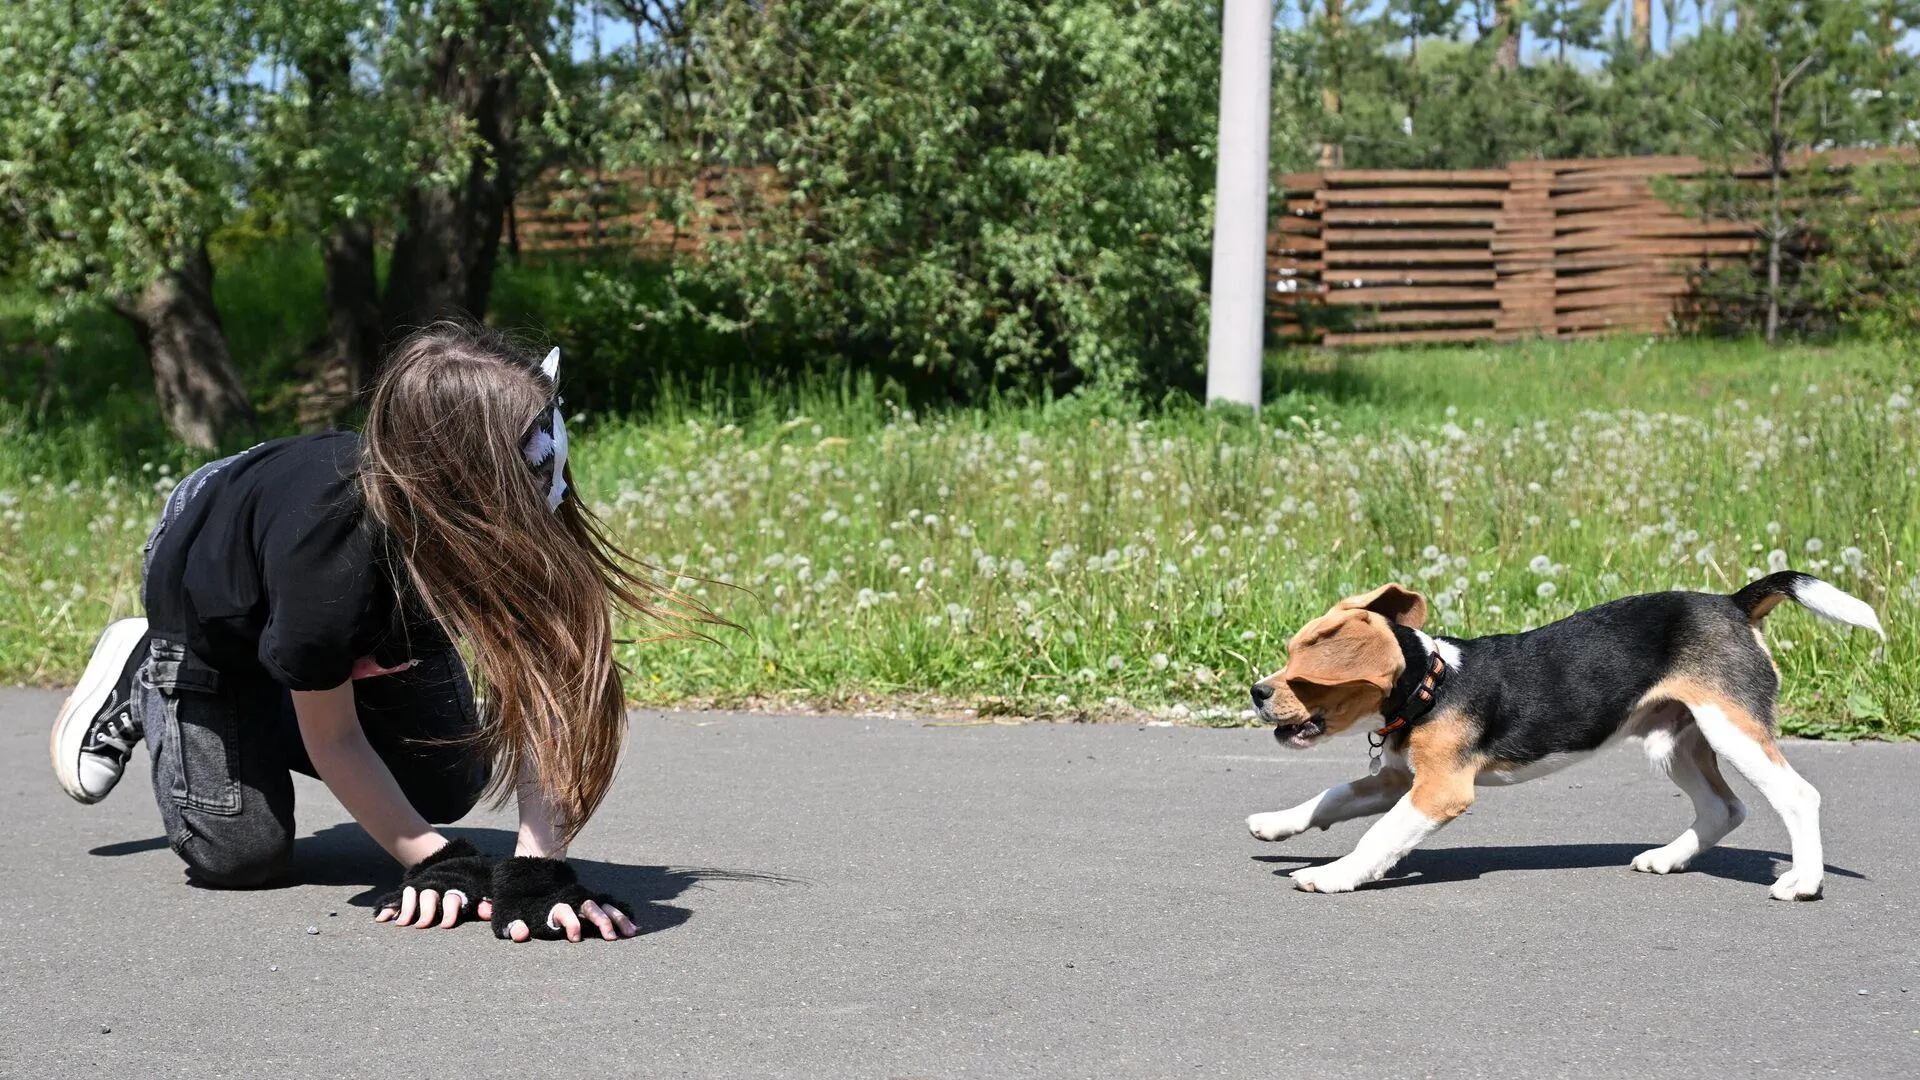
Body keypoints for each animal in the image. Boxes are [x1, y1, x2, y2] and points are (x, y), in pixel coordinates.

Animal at [1251, 572, 1881, 899]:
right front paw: (1275, 824)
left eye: (1303, 675)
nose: (1257, 691)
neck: (1431, 684)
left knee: (1797, 796)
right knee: (1724, 808)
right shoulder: (1396, 780)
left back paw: (1803, 882)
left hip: (1732, 730)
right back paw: (1668, 859)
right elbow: (1330, 798)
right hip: (1673, 741)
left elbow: (1377, 837)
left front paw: (1332, 874)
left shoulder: (1438, 791)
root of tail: (1732, 603)